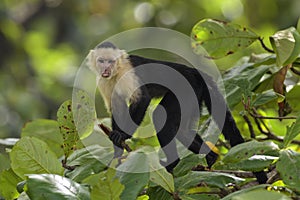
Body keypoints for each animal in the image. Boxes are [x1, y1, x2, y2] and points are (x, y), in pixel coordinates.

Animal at [87, 41, 268, 184]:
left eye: (111, 61)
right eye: (101, 61)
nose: (106, 68)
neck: (116, 73)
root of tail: (196, 72)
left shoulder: (128, 72)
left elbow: (142, 99)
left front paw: (123, 136)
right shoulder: (103, 81)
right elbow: (116, 107)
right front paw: (117, 153)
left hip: (187, 89)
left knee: (161, 118)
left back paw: (173, 163)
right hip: (194, 96)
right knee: (182, 130)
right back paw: (210, 159)